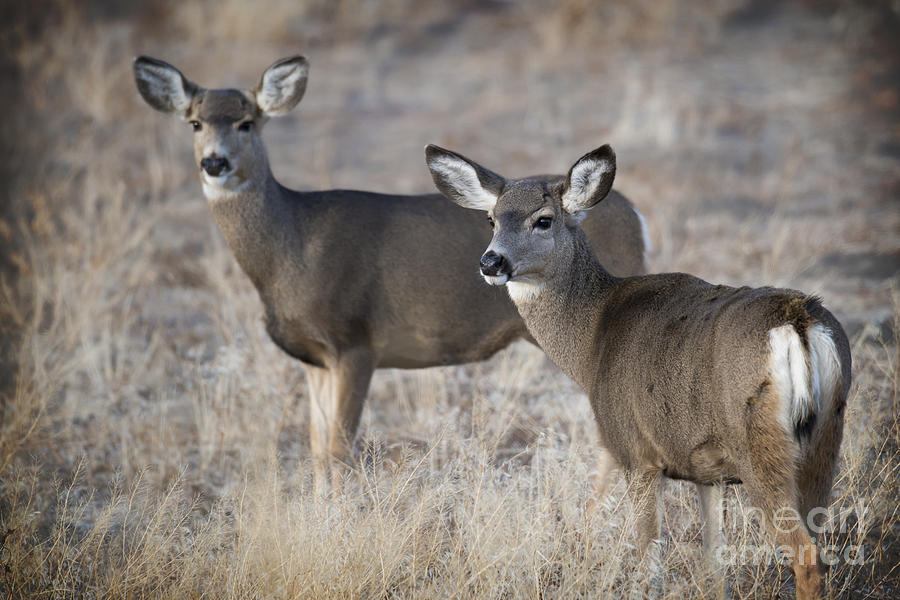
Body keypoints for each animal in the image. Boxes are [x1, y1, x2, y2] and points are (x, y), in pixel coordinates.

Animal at [134, 54, 652, 490]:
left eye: (247, 122)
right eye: (195, 123)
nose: (214, 162)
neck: (291, 247)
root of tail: (635, 214)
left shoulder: (355, 341)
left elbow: (339, 449)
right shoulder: (315, 359)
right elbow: (317, 448)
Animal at [428, 142, 852, 600]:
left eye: (543, 220)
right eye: (491, 218)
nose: (491, 262)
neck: (593, 340)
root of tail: (798, 318)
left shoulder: (635, 452)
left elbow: (650, 566)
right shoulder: (707, 471)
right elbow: (713, 564)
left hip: (758, 443)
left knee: (805, 557)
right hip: (826, 437)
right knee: (820, 545)